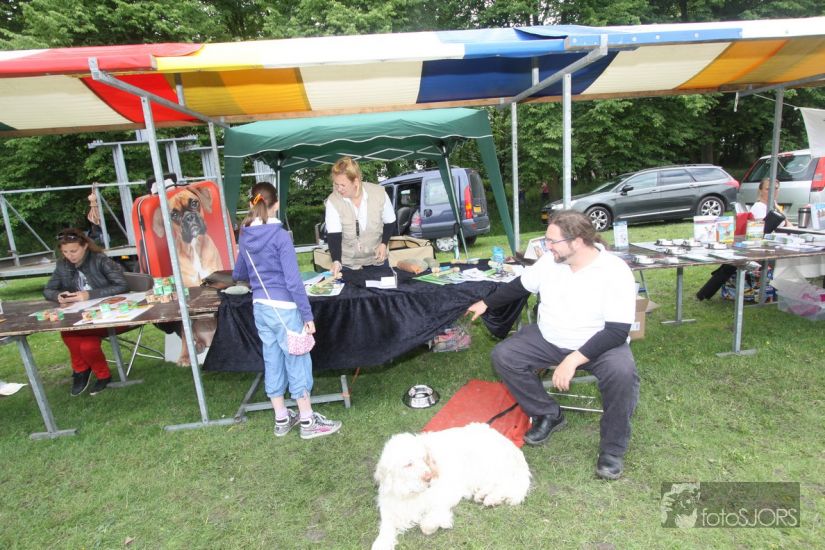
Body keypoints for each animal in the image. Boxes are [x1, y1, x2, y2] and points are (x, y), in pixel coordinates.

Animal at [371, 422, 531, 550]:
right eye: (408, 464)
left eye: (424, 459)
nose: (429, 477)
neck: (411, 493)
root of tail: (511, 445)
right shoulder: (390, 504)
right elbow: (386, 526)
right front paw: (381, 543)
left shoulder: (449, 493)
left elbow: (428, 522)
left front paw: (438, 524)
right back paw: (483, 496)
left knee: (506, 484)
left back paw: (492, 499)